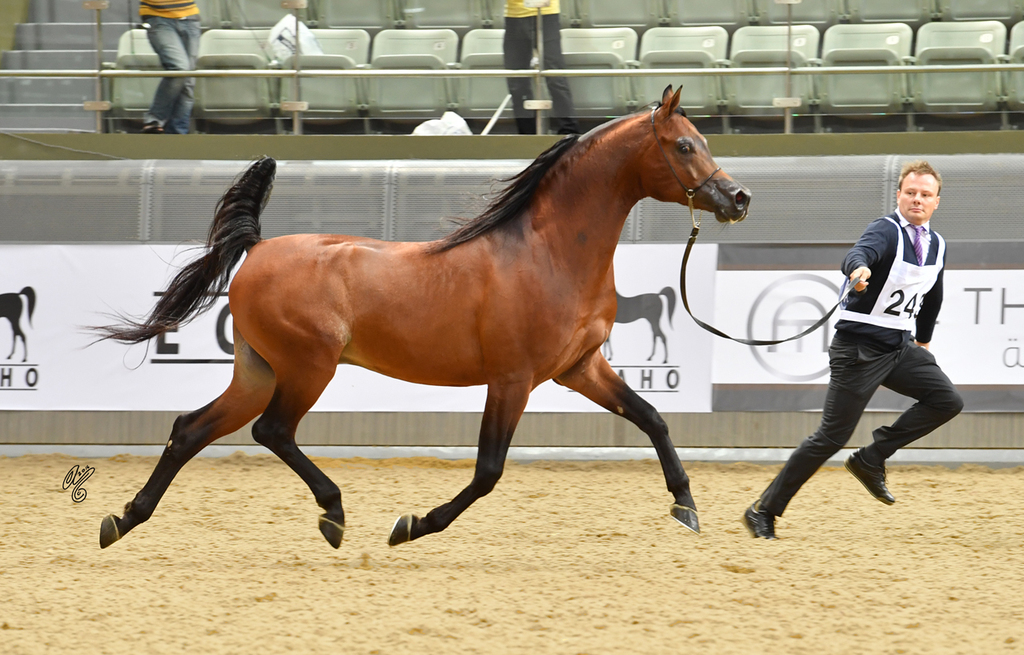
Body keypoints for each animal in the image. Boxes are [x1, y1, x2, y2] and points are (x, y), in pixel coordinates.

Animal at [93, 86, 750, 550]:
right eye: (685, 146)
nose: (738, 198)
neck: (549, 252)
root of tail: (257, 249)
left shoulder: (579, 367)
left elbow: (653, 418)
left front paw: (686, 508)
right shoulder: (512, 379)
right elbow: (488, 470)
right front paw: (411, 524)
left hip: (258, 371)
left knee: (191, 428)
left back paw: (122, 520)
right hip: (308, 367)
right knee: (271, 431)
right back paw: (333, 513)